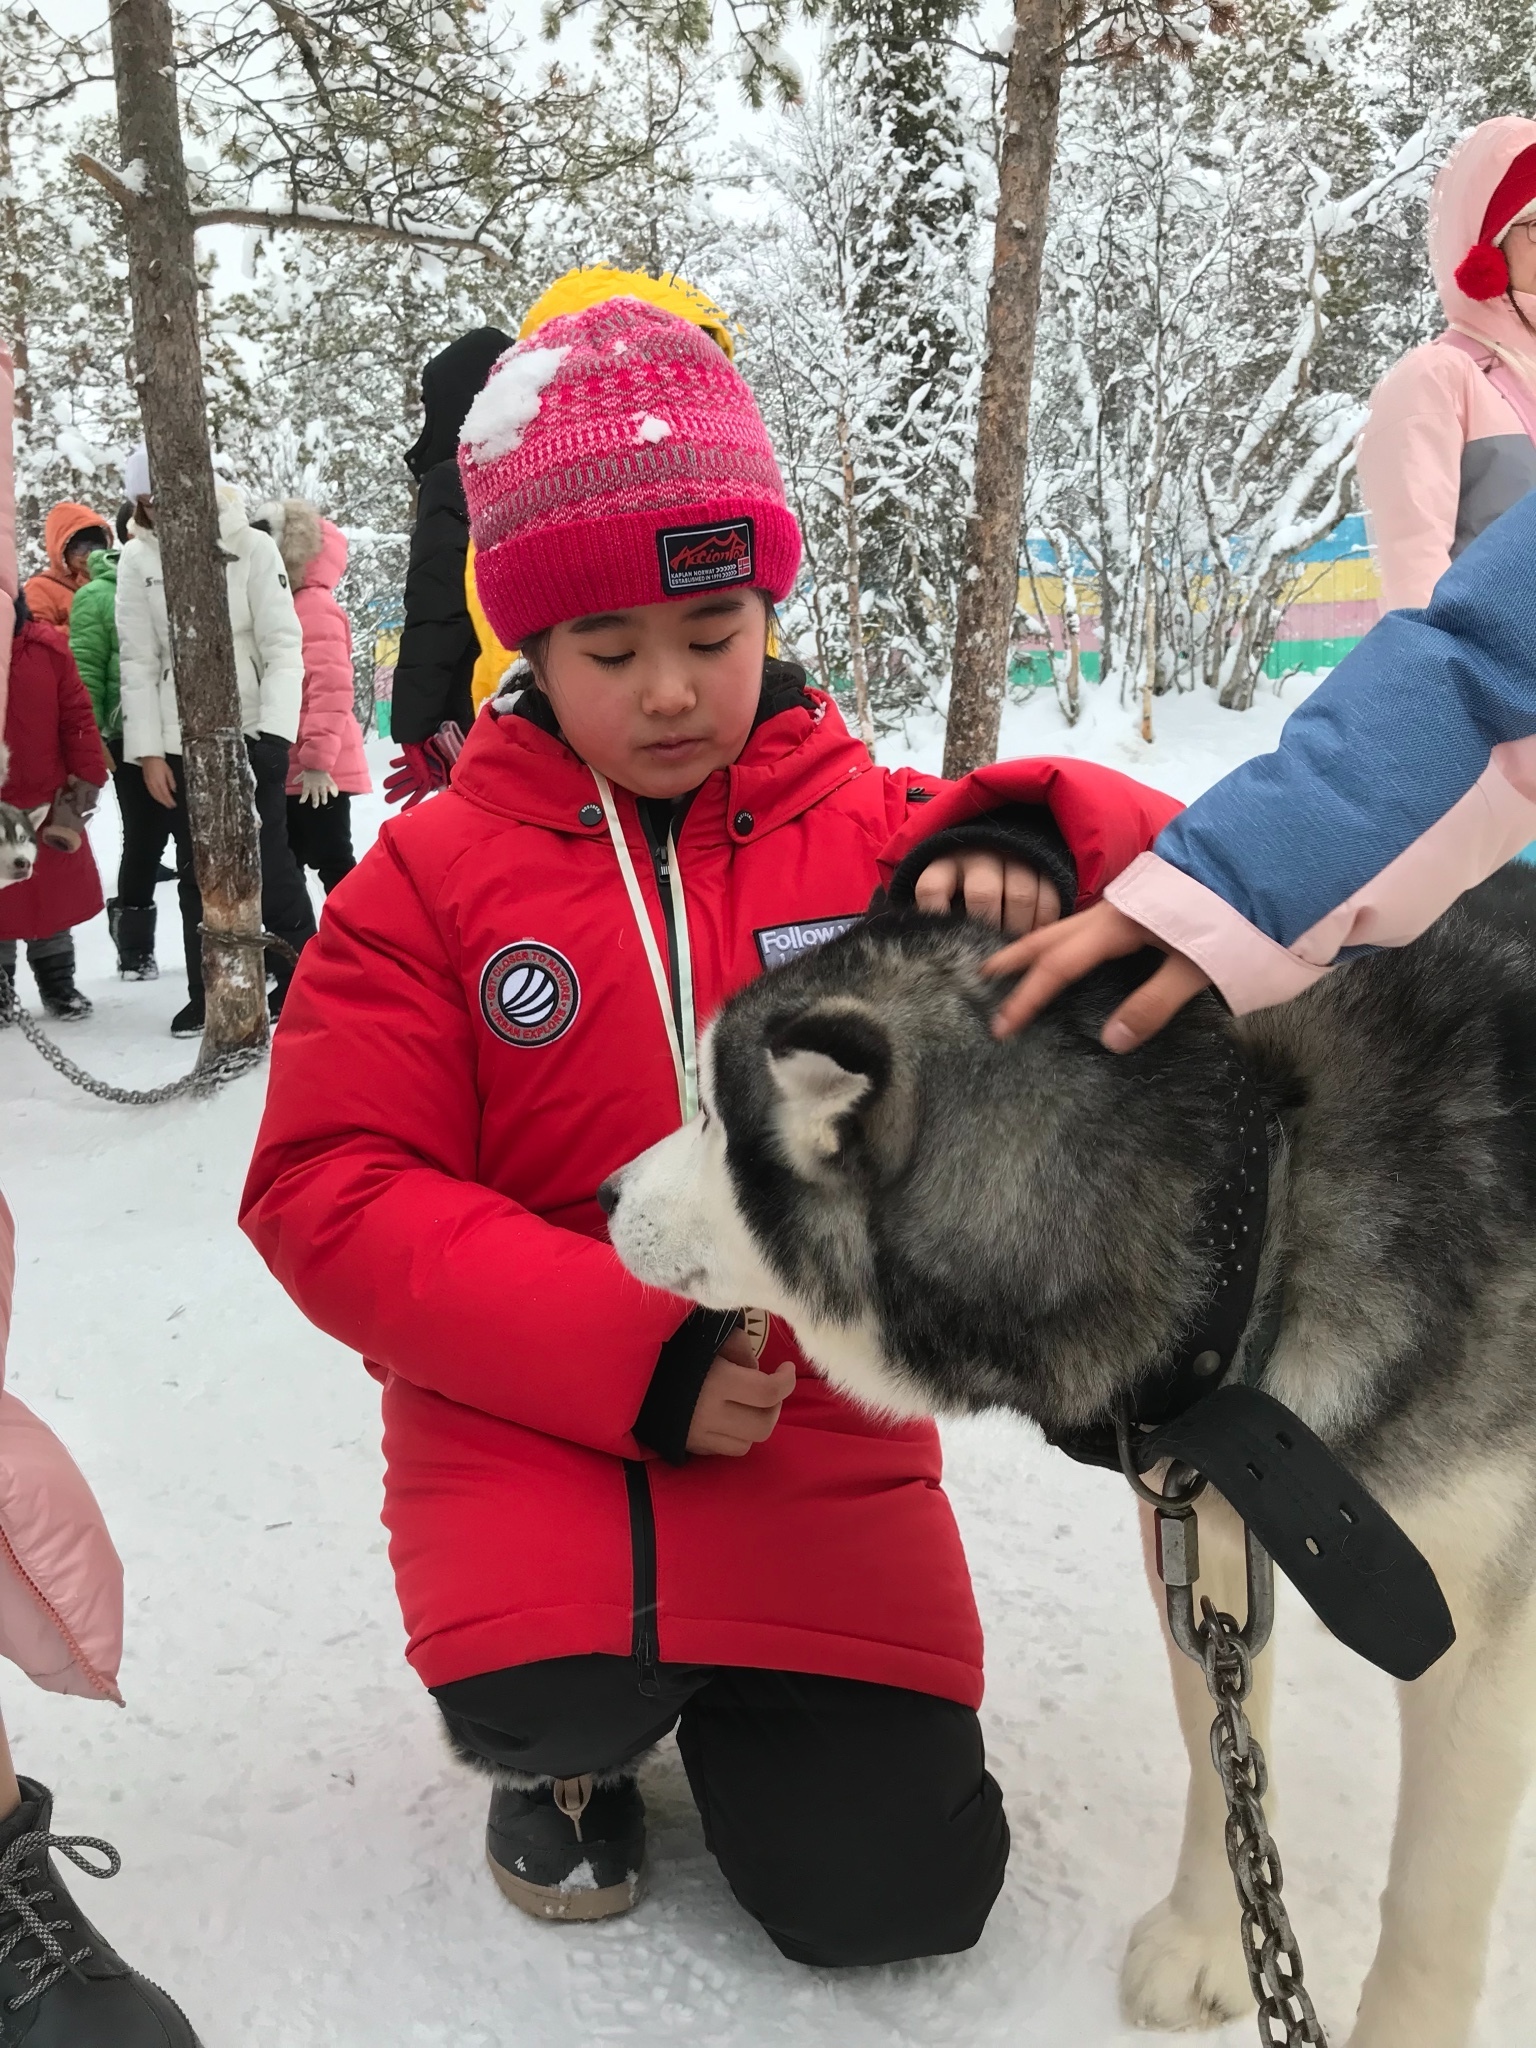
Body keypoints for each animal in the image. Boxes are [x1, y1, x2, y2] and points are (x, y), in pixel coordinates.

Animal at [606, 880, 1536, 2048]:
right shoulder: (1205, 1535)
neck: (1252, 1209)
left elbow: (1431, 1896)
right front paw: (1211, 1934)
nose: (604, 1194)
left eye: (713, 1121)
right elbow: (1226, 1757)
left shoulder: (1481, 1640)